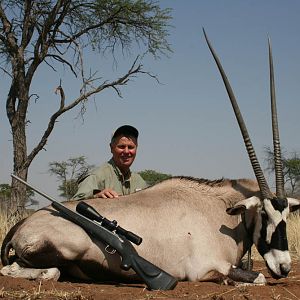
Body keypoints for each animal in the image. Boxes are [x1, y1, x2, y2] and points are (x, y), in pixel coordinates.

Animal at [1, 31, 298, 286]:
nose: (284, 267)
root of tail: (24, 223)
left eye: (286, 215)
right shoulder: (206, 268)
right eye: (264, 214)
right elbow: (257, 277)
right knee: (33, 270)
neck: (219, 210)